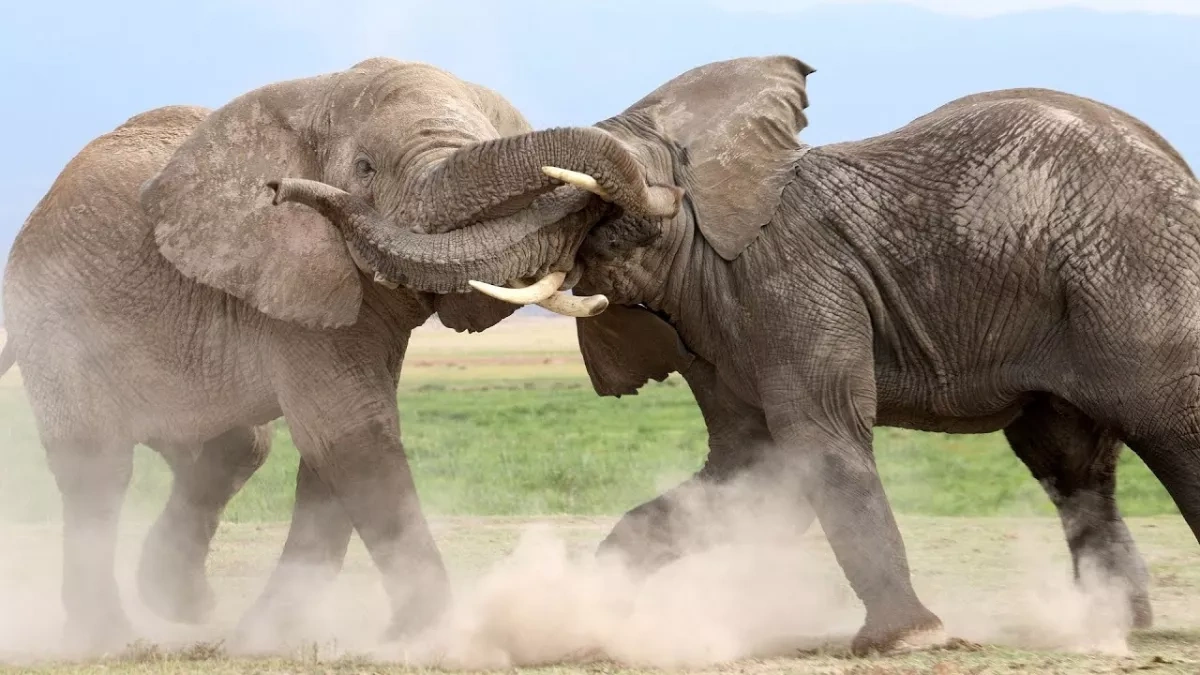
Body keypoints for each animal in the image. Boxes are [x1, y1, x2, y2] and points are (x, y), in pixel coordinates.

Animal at [0, 56, 679, 652]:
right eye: (365, 167)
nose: (282, 191)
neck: (320, 92)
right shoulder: (289, 277)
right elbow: (351, 432)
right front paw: (430, 634)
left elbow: (334, 445)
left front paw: (272, 637)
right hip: (54, 318)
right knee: (98, 467)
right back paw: (108, 638)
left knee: (235, 444)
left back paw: (178, 604)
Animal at [337, 55, 1200, 655]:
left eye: (602, 210)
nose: (317, 188)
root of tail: (1177, 166)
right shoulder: (712, 324)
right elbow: (748, 470)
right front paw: (590, 611)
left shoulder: (793, 281)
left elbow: (817, 440)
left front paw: (911, 641)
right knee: (1070, 465)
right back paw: (1113, 621)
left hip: (1133, 279)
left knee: (1170, 427)